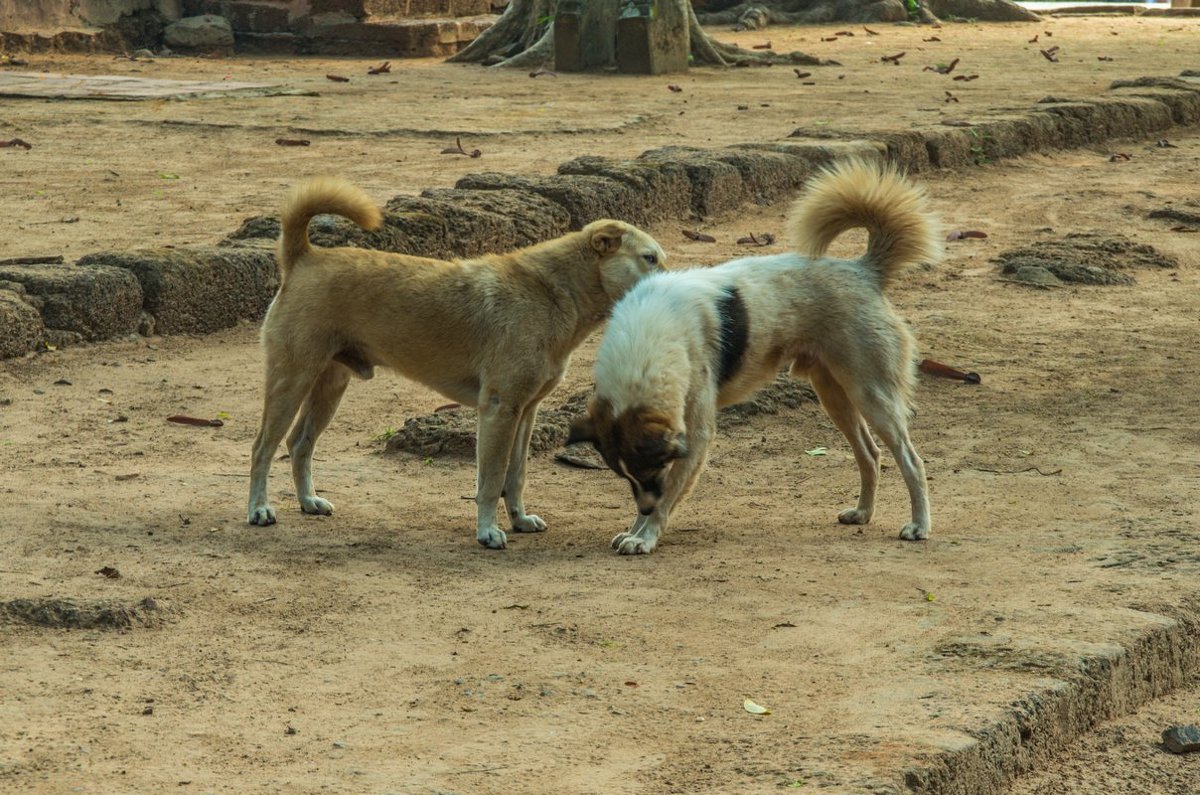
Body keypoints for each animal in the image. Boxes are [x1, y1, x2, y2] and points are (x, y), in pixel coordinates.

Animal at [246, 175, 667, 552]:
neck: (553, 292)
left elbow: (516, 476)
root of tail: (305, 256)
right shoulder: (499, 410)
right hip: (291, 381)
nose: (674, 283)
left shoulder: (525, 412)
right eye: (649, 259)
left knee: (299, 444)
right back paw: (259, 509)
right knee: (262, 447)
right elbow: (491, 480)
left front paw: (518, 520)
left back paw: (308, 502)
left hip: (330, 387)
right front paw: (488, 532)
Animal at [566, 156, 940, 554]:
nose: (645, 511)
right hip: (834, 395)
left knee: (911, 460)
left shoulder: (694, 436)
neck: (650, 341)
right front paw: (636, 529)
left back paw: (919, 525)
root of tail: (863, 270)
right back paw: (862, 513)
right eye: (624, 474)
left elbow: (667, 495)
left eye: (652, 467)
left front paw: (646, 535)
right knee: (870, 455)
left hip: (871, 394)